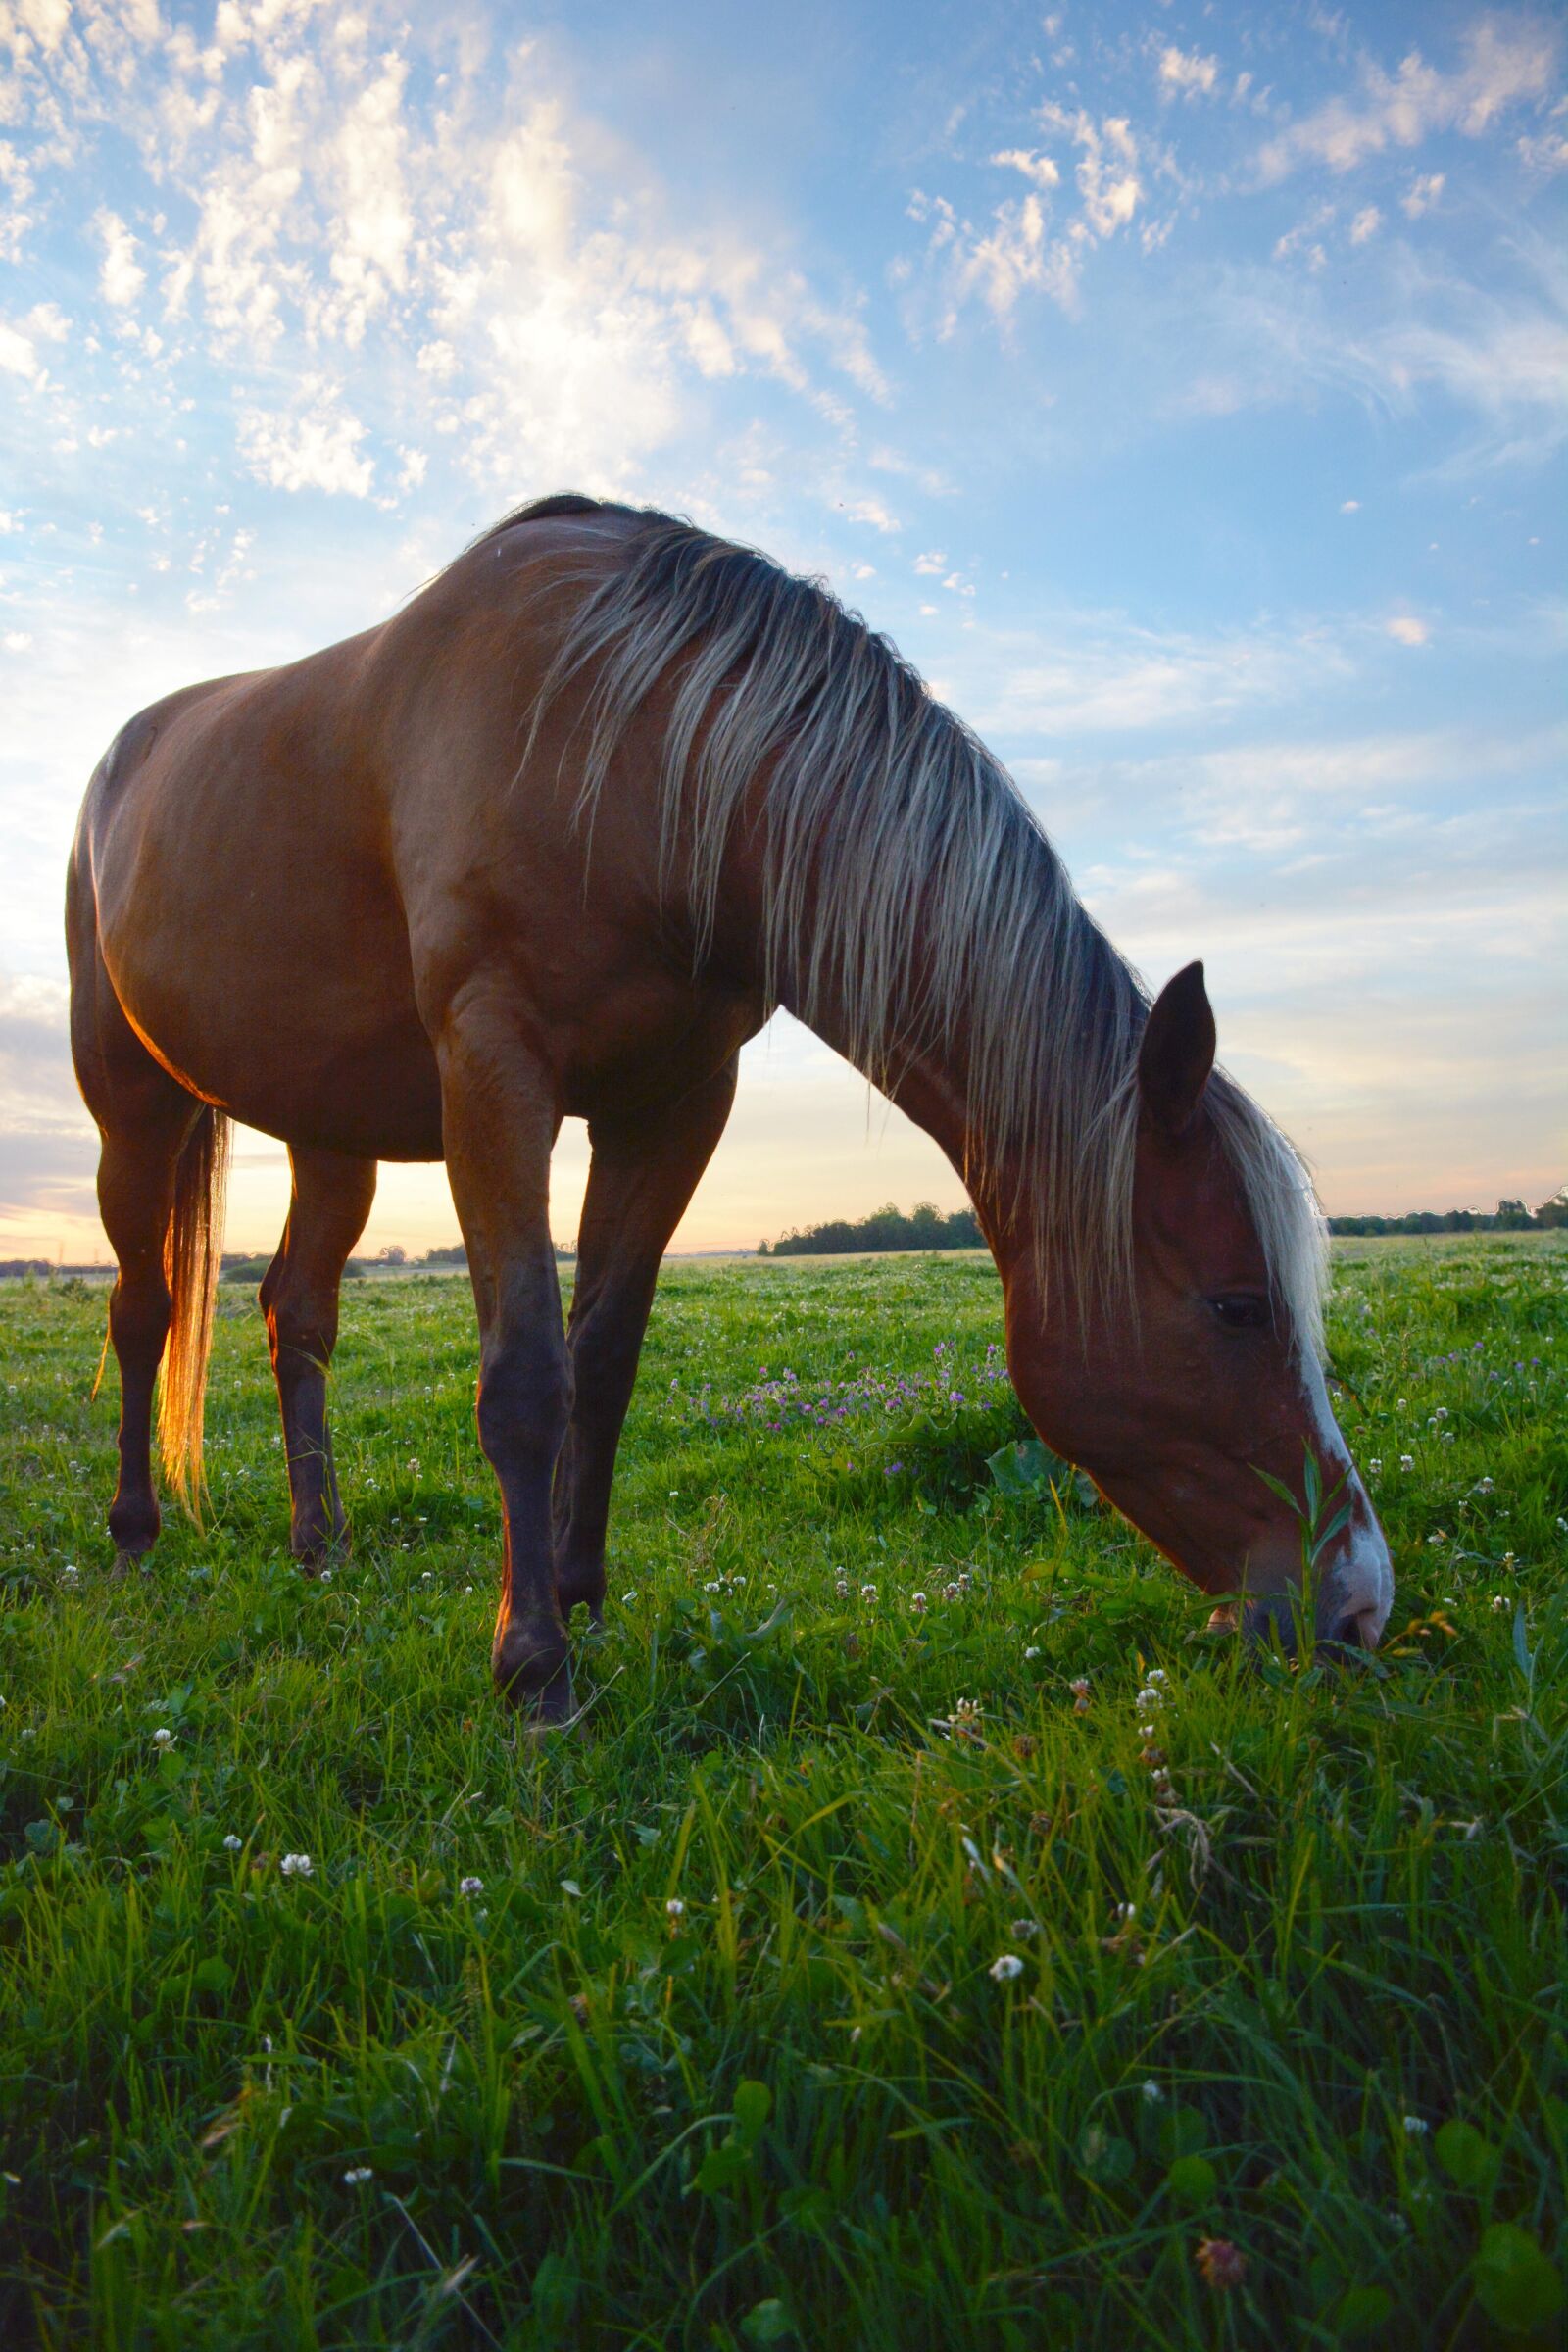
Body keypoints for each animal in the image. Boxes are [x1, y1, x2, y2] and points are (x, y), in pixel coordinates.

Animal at [67, 493, 1394, 1725]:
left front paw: (582, 1600)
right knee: (143, 1311)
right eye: (1235, 1305)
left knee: (296, 1315)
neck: (627, 745)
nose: (1359, 1607)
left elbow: (603, 1362)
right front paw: (532, 1666)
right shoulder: (494, 1072)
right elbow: (526, 1373)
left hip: (328, 1133)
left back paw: (321, 1547)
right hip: (132, 1107)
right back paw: (134, 1540)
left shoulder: (675, 1102)